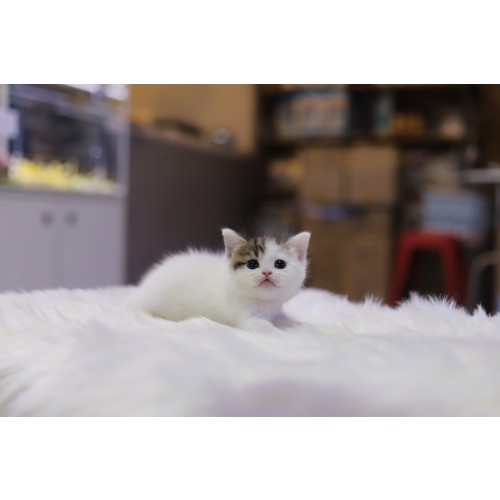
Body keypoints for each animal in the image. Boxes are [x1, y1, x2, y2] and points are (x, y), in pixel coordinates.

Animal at [131, 228, 311, 330]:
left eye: (280, 264)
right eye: (252, 264)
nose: (267, 272)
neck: (263, 302)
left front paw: (294, 323)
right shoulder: (241, 315)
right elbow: (261, 327)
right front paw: (276, 329)